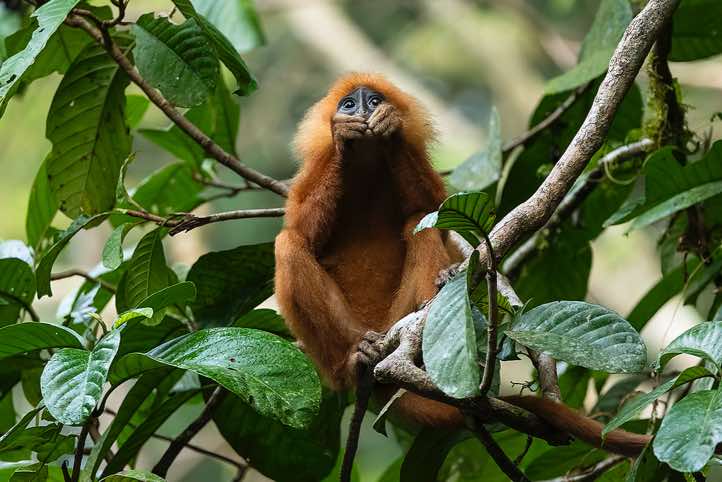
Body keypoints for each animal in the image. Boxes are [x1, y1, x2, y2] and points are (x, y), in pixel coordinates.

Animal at [274, 73, 652, 468]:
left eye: (374, 100)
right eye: (349, 104)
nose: (362, 110)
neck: (368, 169)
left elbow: (432, 211)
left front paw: (390, 129)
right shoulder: (314, 171)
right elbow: (301, 231)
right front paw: (344, 137)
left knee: (418, 221)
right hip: (342, 341)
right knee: (289, 245)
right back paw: (355, 361)